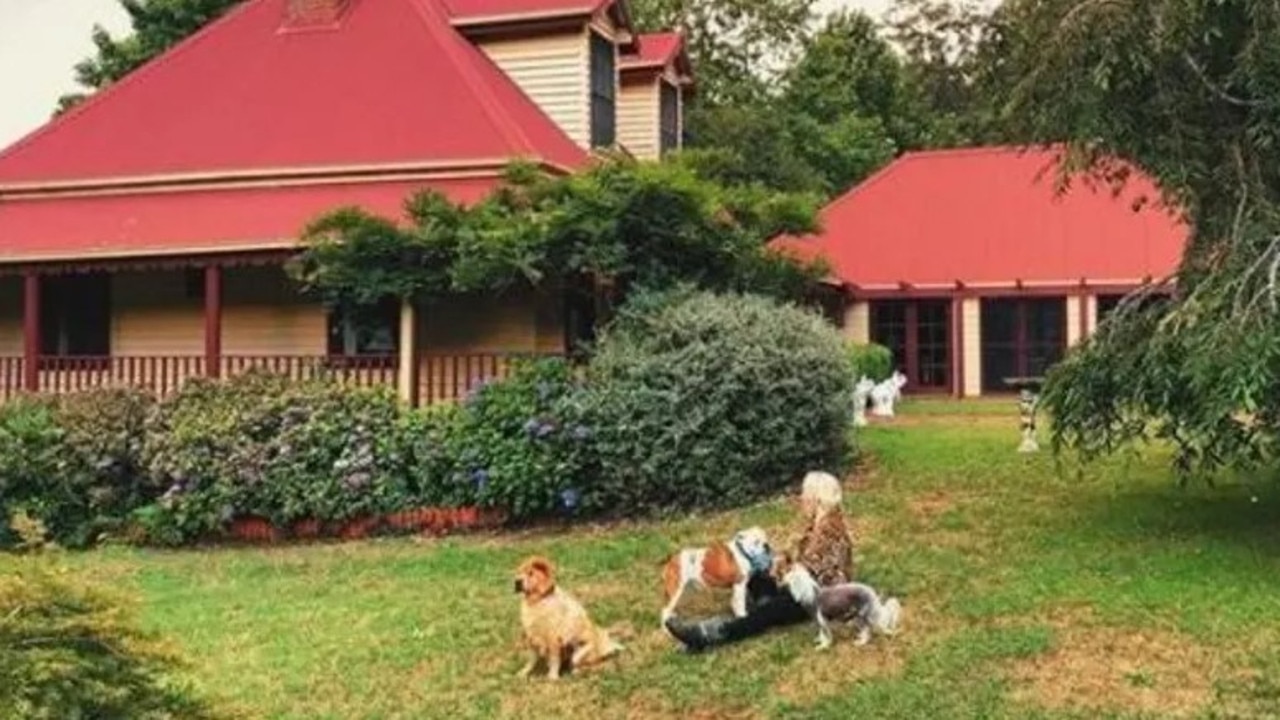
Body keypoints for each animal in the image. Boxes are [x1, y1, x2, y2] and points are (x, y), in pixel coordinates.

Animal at [773, 550, 906, 648]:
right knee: (867, 629)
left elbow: (825, 634)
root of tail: (871, 592)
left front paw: (823, 646)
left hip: (865, 614)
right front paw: (820, 641)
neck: (809, 592)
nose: (774, 580)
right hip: (858, 615)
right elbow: (821, 633)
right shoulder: (818, 620)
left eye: (780, 573)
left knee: (872, 627)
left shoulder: (820, 619)